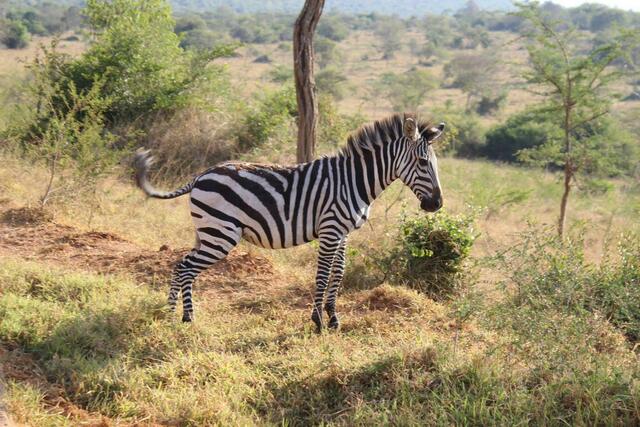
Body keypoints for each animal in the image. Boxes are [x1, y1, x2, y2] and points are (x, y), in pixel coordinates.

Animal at [134, 113, 444, 331]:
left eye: (434, 164)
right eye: (421, 162)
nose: (436, 204)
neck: (354, 181)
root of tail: (200, 175)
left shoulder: (343, 233)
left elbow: (338, 274)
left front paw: (333, 318)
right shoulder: (330, 230)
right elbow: (322, 276)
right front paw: (318, 321)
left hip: (207, 232)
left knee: (183, 266)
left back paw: (178, 314)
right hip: (220, 235)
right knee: (185, 267)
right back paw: (179, 316)